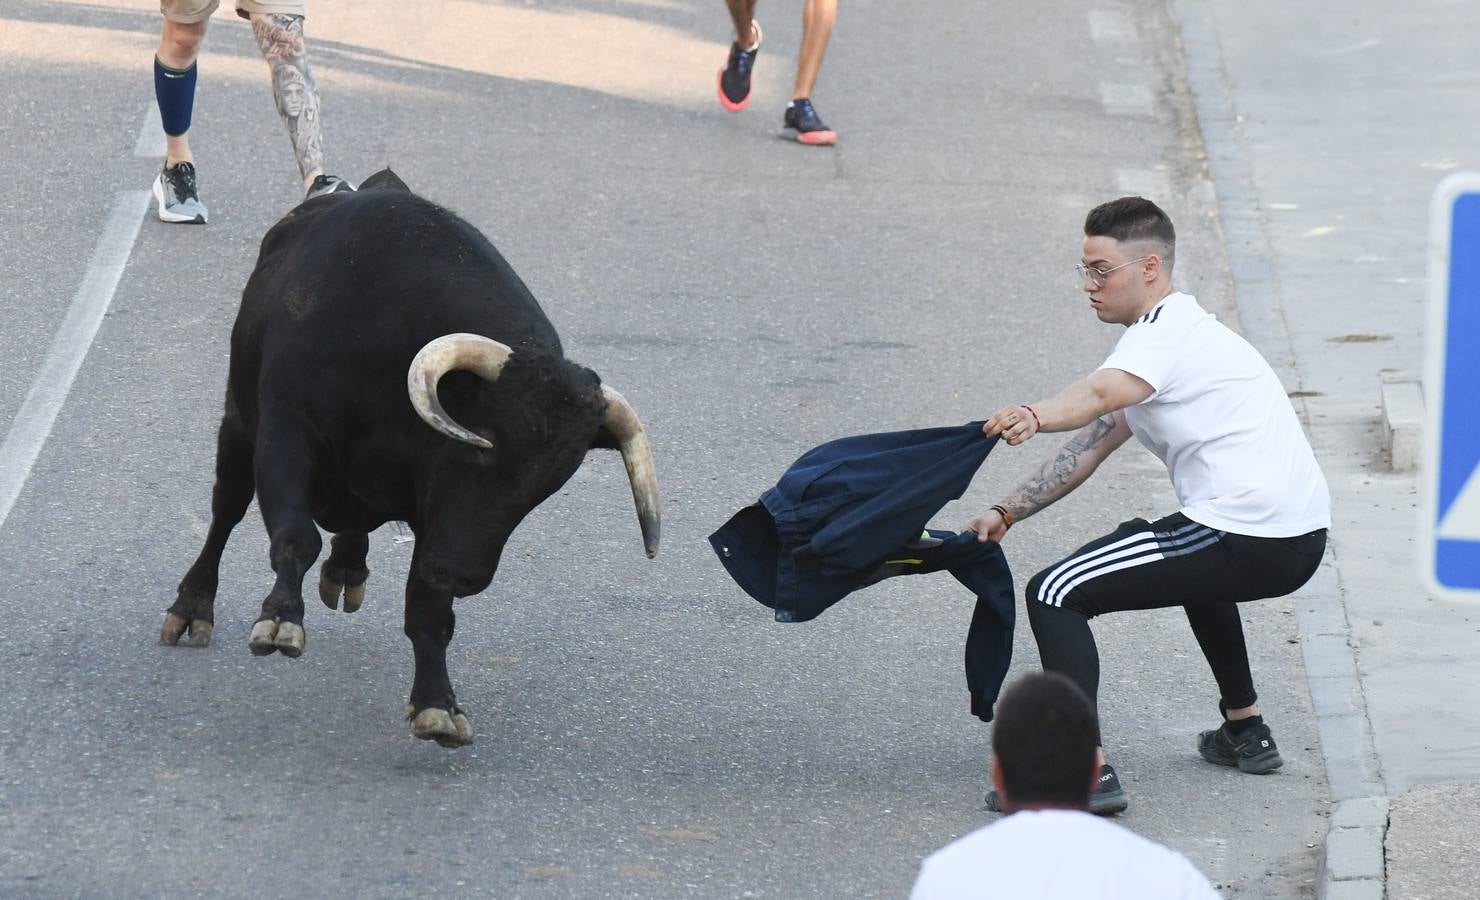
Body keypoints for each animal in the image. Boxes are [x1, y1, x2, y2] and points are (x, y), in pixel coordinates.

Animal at [160, 168, 660, 746]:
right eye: (480, 446)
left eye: (549, 485)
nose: (464, 575)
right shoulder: (285, 436)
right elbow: (294, 537)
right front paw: (281, 619)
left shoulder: (434, 519)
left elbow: (427, 608)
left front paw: (438, 704)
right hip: (238, 427)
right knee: (226, 512)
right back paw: (192, 608)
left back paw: (348, 567)